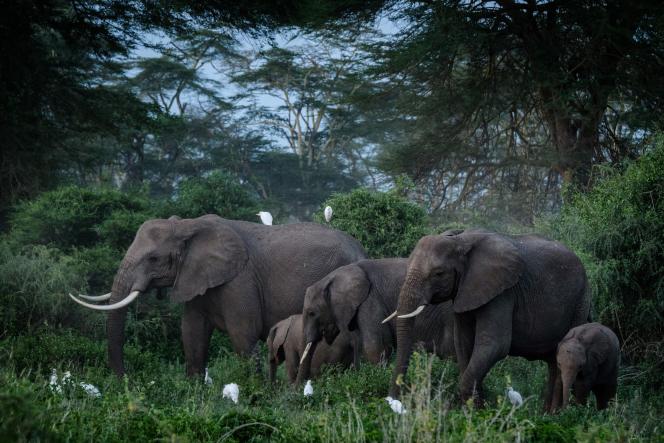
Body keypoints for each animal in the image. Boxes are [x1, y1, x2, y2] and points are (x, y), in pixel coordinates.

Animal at [69, 214, 366, 377]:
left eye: (153, 259)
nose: (125, 381)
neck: (188, 226)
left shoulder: (240, 280)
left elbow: (242, 334)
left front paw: (255, 398)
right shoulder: (196, 279)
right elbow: (192, 334)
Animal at [297, 258, 456, 383]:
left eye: (311, 313)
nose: (298, 389)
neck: (332, 278)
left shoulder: (370, 301)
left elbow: (373, 347)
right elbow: (359, 346)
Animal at [388, 229, 591, 410]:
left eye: (439, 273)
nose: (395, 401)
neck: (460, 240)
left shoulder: (503, 293)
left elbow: (494, 345)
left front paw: (474, 412)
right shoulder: (464, 291)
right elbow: (463, 343)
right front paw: (475, 410)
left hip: (580, 302)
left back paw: (557, 416)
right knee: (553, 362)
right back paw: (547, 414)